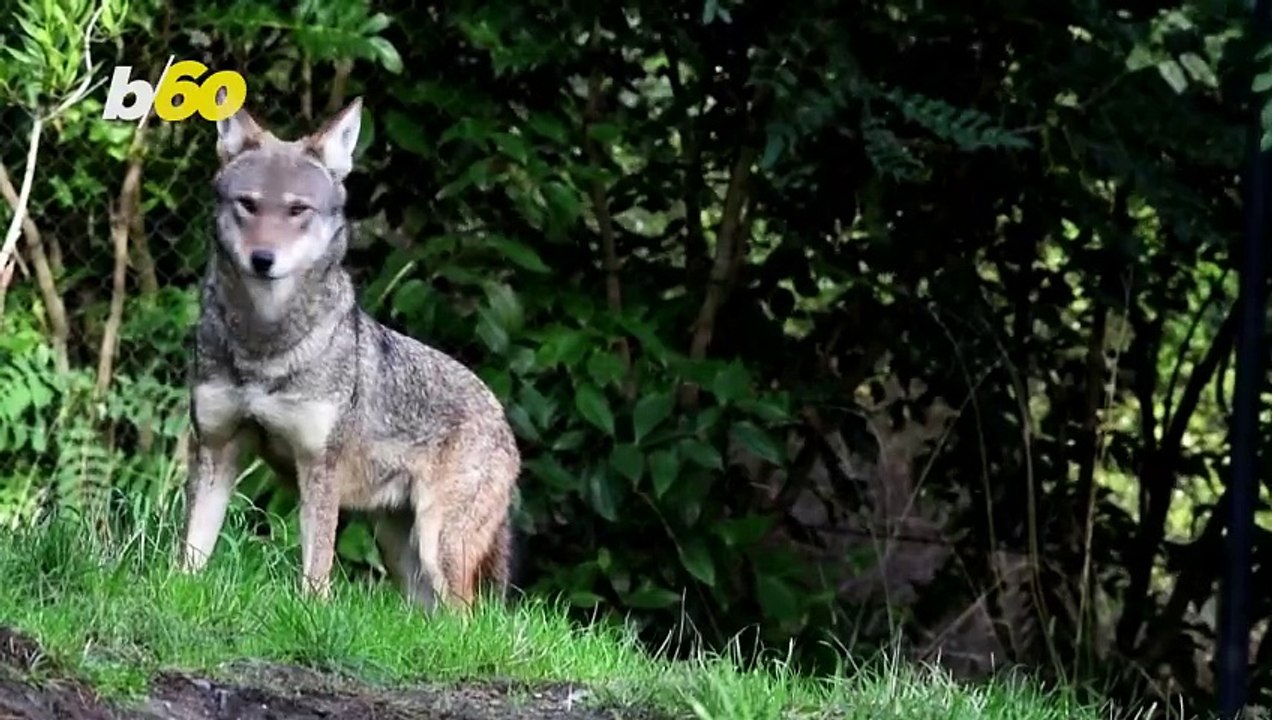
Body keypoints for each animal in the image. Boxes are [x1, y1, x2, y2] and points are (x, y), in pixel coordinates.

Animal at [177, 94, 521, 612]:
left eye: (297, 210)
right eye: (249, 205)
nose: (263, 259)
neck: (265, 346)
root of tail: (503, 418)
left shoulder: (319, 469)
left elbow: (316, 571)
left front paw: (309, 613)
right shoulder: (216, 448)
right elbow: (191, 556)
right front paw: (176, 592)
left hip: (438, 548)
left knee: (470, 620)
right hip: (404, 557)